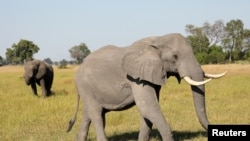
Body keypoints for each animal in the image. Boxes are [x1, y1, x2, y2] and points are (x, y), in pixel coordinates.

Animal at [67, 32, 227, 140]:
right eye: (175, 57)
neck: (159, 39)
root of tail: (78, 69)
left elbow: (148, 113)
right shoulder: (136, 77)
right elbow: (148, 107)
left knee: (89, 115)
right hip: (85, 87)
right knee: (96, 115)